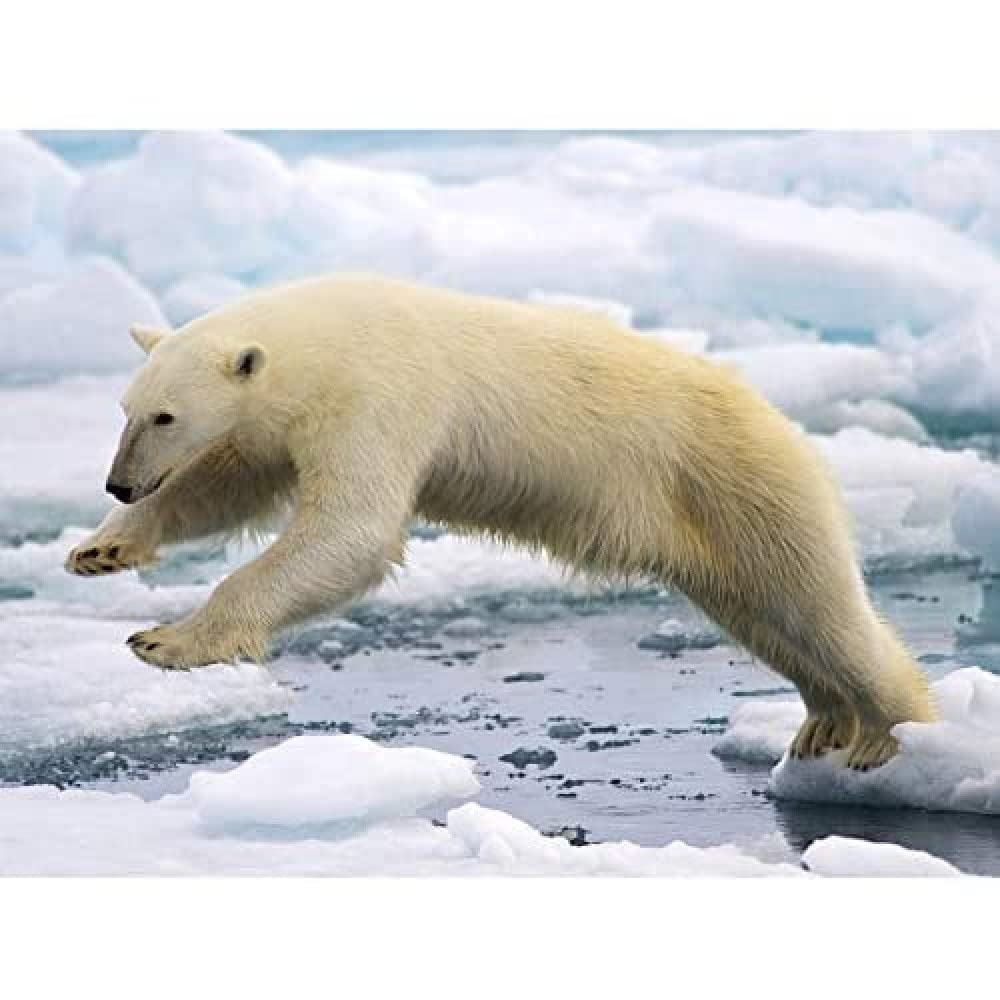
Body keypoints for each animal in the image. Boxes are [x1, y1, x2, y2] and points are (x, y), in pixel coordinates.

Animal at [65, 273, 935, 770]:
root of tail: (779, 419)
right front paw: (101, 549)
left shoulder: (380, 394)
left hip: (738, 481)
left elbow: (351, 530)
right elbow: (230, 483)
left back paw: (889, 735)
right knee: (762, 615)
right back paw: (822, 721)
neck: (326, 337)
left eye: (166, 415)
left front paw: (166, 640)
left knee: (819, 605)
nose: (117, 481)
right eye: (127, 408)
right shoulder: (284, 422)